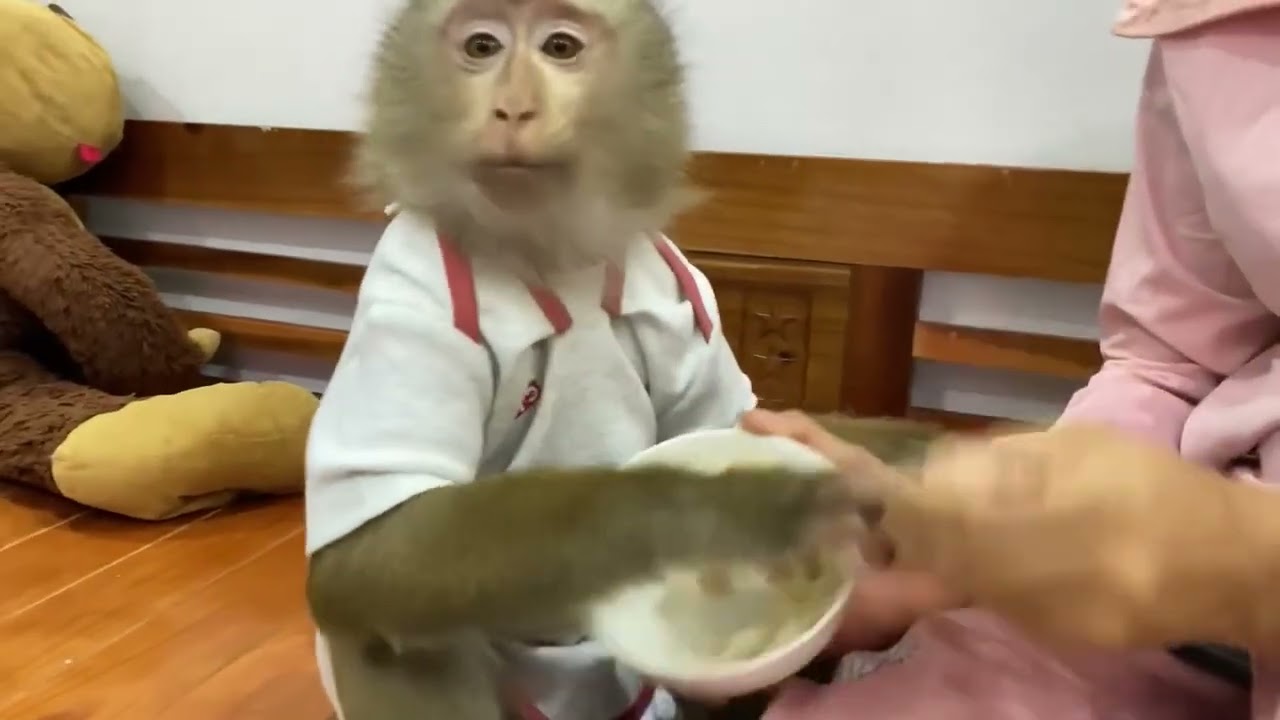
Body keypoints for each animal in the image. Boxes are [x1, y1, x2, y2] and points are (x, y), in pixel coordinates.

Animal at [303, 0, 950, 718]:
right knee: (385, 634)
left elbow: (734, 420)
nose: (513, 108)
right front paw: (730, 510)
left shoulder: (683, 291)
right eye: (482, 47)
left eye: (560, 48)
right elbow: (365, 559)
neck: (548, 259)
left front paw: (917, 462)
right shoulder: (412, 293)